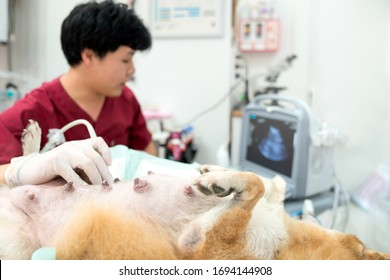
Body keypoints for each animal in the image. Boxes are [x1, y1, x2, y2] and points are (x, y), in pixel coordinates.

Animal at [0, 121, 388, 260]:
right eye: (361, 245)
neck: (284, 249)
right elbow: (259, 182)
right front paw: (215, 172)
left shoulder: (202, 243)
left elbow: (257, 184)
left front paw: (220, 180)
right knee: (21, 167)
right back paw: (35, 140)